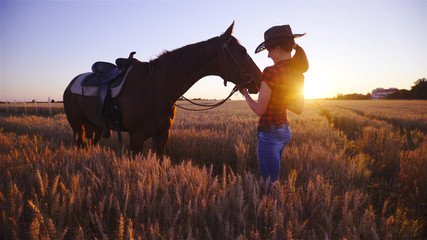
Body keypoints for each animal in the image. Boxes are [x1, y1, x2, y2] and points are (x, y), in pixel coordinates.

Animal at [63, 22, 260, 154]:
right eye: (242, 51)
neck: (158, 86)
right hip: (78, 126)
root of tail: (70, 85)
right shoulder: (136, 137)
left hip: (94, 126)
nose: (259, 79)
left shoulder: (162, 135)